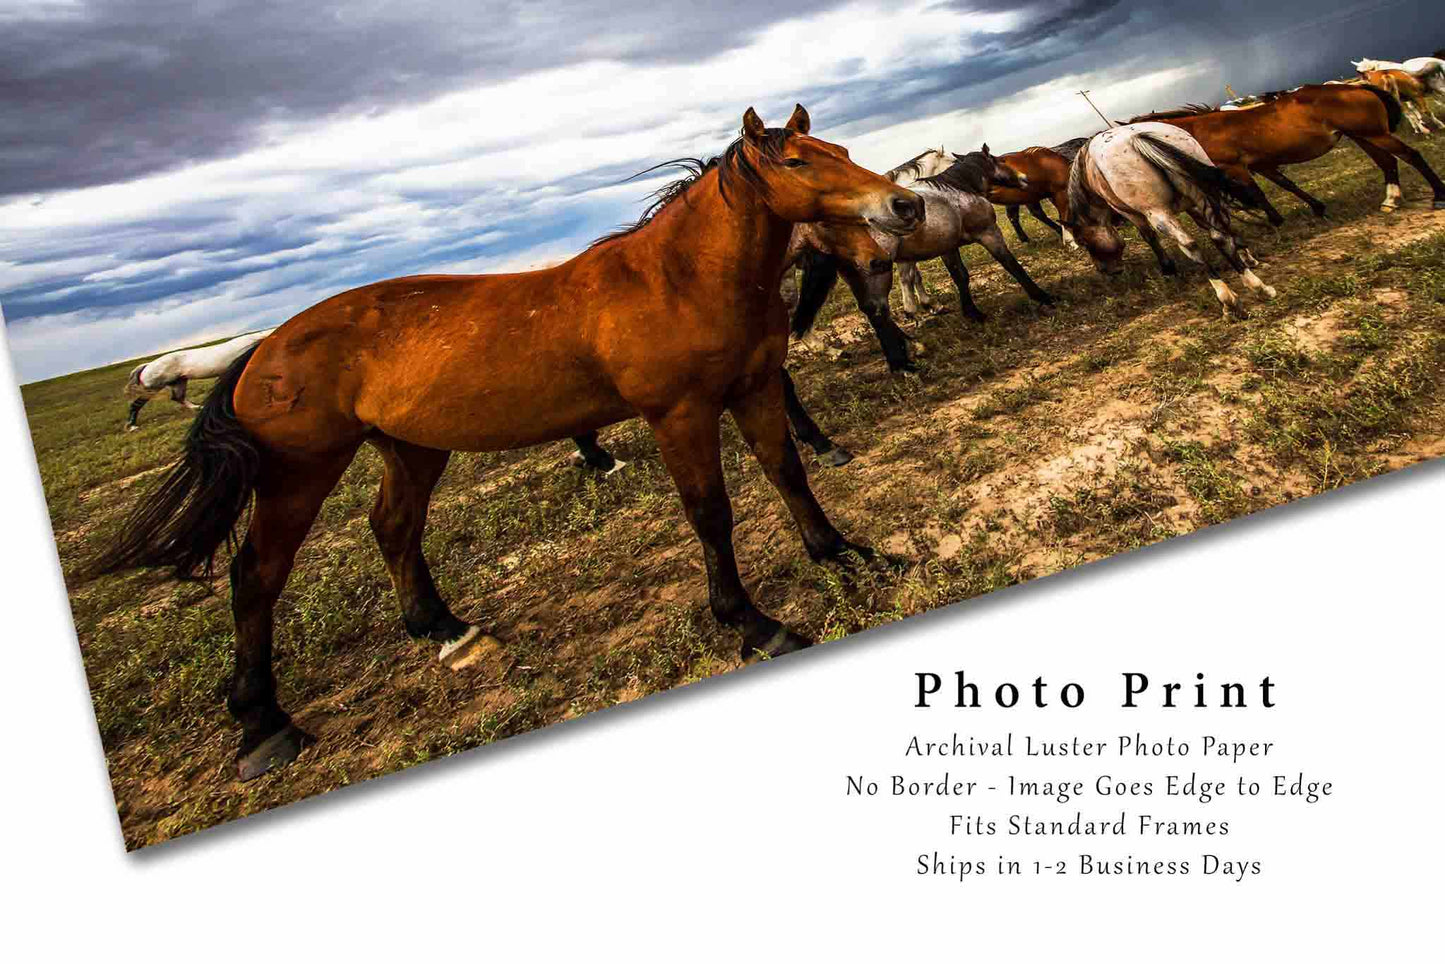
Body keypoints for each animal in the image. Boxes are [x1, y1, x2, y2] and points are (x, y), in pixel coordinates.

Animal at [124, 328, 275, 430]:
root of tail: (147, 365)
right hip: (153, 388)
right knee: (136, 405)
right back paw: (132, 426)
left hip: (179, 382)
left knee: (177, 397)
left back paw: (197, 407)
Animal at [1063, 122, 1277, 317]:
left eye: (1084, 242)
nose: (1106, 271)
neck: (1088, 168)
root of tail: (1138, 138)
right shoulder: (1192, 205)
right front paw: (1246, 254)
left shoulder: (1132, 214)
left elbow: (1150, 238)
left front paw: (1168, 269)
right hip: (1202, 195)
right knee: (1220, 234)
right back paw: (1258, 285)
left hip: (1158, 214)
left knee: (1190, 245)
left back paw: (1227, 298)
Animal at [1127, 83, 1445, 222]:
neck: (1199, 130)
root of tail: (1352, 86)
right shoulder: (1262, 165)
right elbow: (1287, 185)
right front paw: (1317, 208)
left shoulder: (1236, 167)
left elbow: (1258, 193)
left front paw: (1275, 220)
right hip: (1364, 137)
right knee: (1387, 162)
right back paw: (1391, 199)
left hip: (1373, 135)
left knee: (1410, 156)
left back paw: (1437, 196)